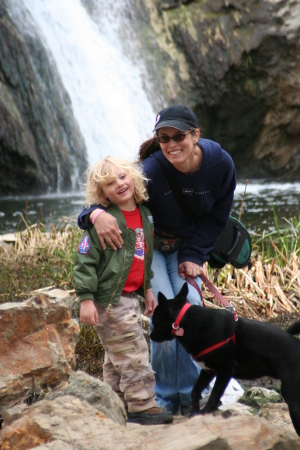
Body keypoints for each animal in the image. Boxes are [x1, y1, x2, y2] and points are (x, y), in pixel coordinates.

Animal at [151, 284, 300, 434]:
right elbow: (195, 391)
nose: (151, 336)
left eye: (154, 320)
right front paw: (195, 412)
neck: (184, 321)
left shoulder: (225, 371)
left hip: (294, 403)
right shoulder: (208, 371)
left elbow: (213, 396)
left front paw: (205, 412)